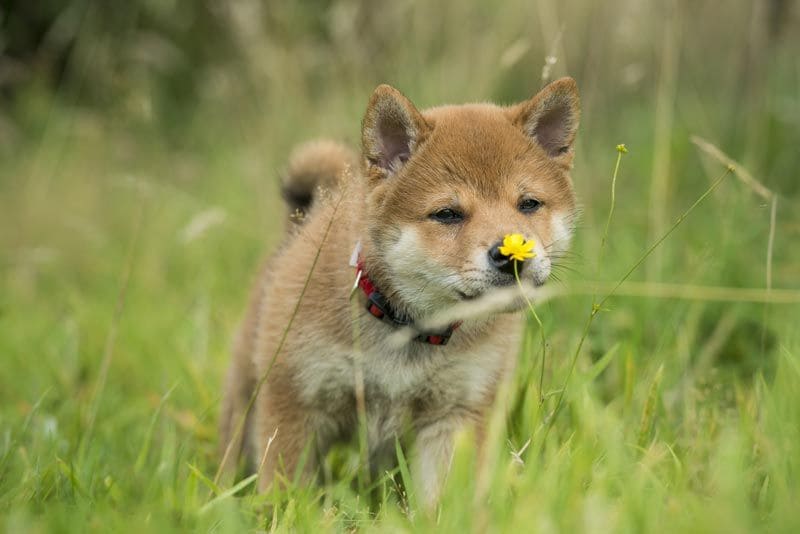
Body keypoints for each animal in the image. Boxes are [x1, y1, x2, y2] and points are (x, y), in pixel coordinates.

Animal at [220, 77, 580, 508]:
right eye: (447, 214)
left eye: (528, 204)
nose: (511, 255)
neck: (406, 328)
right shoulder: (293, 405)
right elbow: (287, 497)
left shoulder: (457, 413)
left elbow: (444, 502)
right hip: (245, 400)